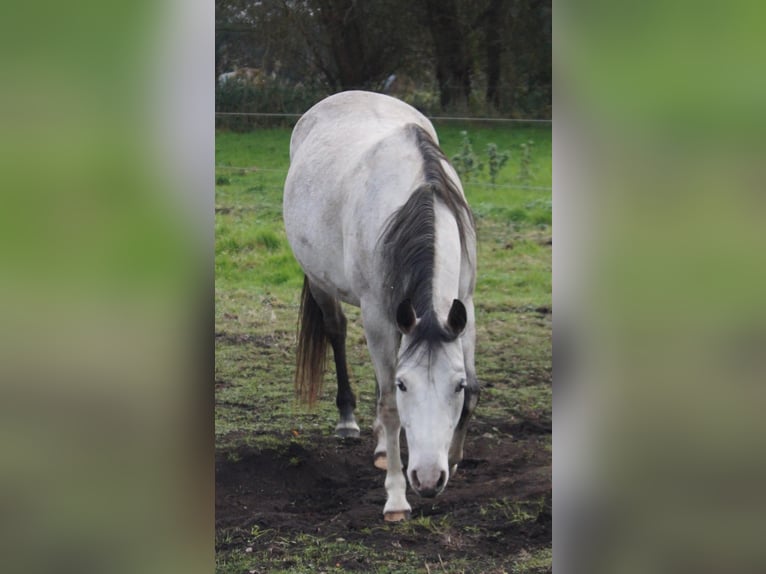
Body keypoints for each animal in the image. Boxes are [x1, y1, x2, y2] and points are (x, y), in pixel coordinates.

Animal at [283, 91, 479, 521]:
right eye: (406, 385)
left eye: (455, 386)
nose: (428, 479)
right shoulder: (377, 315)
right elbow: (390, 406)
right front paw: (396, 498)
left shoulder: (465, 307)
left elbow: (474, 390)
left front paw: (455, 458)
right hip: (325, 285)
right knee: (336, 330)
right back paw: (349, 421)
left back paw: (380, 446)